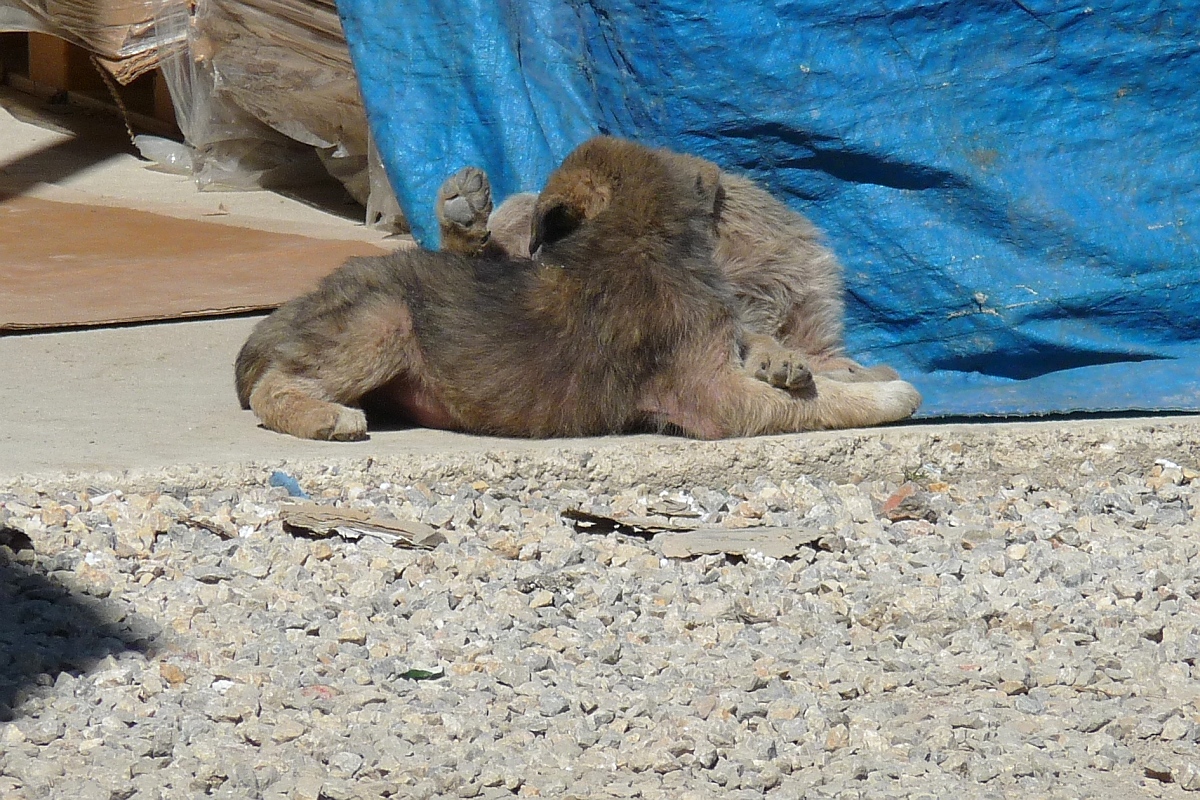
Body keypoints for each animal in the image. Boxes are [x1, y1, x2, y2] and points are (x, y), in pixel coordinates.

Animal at [236, 134, 916, 441]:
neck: (633, 236)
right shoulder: (712, 395)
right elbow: (823, 402)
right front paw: (891, 393)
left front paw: (806, 365)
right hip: (384, 321)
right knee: (276, 384)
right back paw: (326, 416)